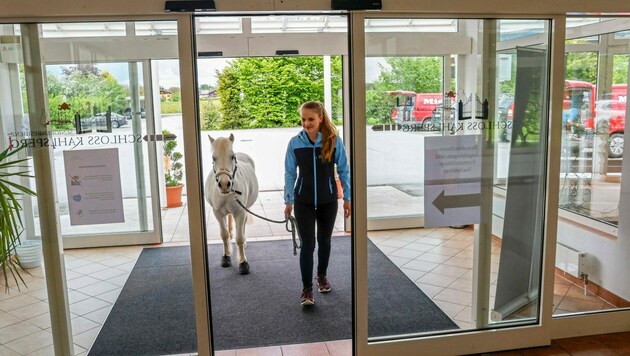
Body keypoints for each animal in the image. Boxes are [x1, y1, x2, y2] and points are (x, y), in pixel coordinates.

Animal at [205, 134, 260, 276]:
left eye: (232, 156)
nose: (224, 184)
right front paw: (226, 257)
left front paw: (243, 263)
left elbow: (239, 237)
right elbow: (224, 235)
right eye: (214, 158)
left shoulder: (240, 212)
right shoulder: (218, 213)